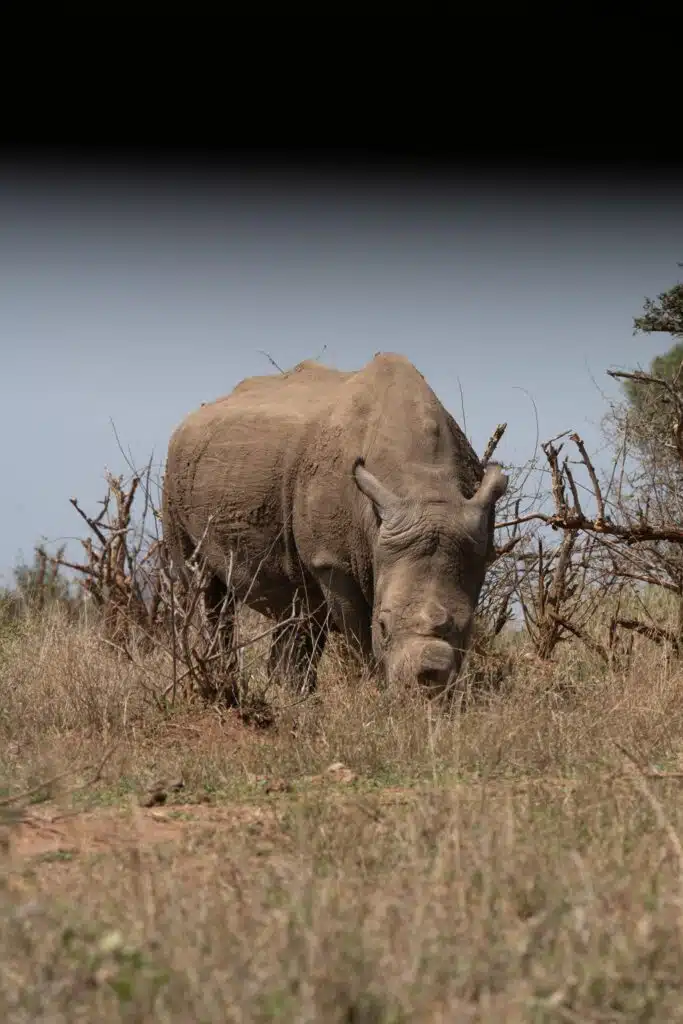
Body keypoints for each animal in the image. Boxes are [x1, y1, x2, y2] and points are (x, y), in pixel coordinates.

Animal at [161, 352, 507, 699]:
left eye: (467, 627)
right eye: (383, 626)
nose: (427, 684)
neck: (424, 482)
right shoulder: (332, 562)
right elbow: (359, 631)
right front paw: (373, 689)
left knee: (295, 604)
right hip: (174, 473)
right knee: (201, 583)